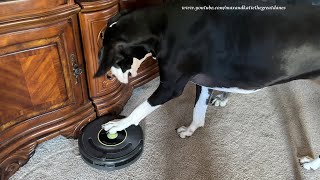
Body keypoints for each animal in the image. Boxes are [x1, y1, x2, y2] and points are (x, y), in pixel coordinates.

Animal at [94, 0, 320, 171]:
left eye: (116, 59)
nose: (111, 77)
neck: (162, 27)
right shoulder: (203, 82)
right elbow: (198, 111)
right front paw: (191, 130)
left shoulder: (170, 88)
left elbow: (140, 109)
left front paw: (118, 124)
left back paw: (312, 164)